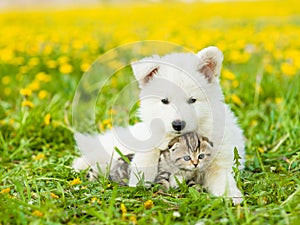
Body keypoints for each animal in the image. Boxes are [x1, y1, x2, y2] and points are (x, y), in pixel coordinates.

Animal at [73, 46, 246, 205]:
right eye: (164, 100)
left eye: (192, 100)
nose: (178, 124)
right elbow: (147, 154)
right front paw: (140, 179)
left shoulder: (219, 161)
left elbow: (223, 179)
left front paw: (233, 196)